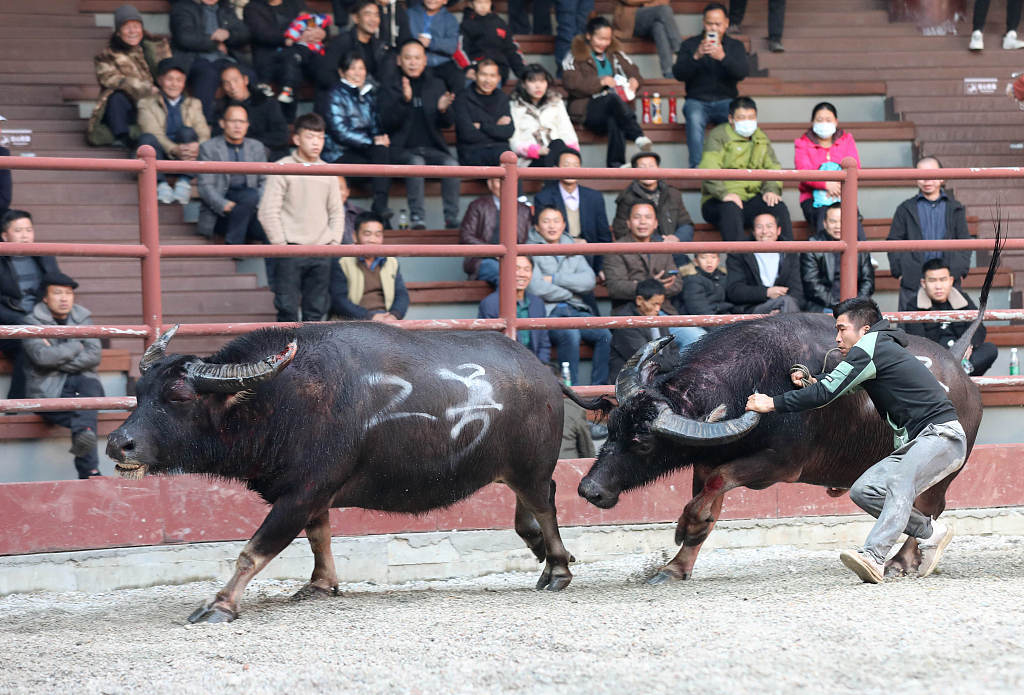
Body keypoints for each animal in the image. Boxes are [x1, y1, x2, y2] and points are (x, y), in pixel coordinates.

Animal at [112, 323, 577, 622]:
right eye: (139, 392)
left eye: (178, 396)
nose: (119, 443)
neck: (278, 400)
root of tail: (544, 375)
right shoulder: (312, 495)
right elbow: (320, 537)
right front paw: (320, 585)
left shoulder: (300, 495)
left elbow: (253, 551)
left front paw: (220, 604)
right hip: (514, 471)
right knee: (529, 510)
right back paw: (542, 551)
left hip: (531, 468)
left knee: (547, 506)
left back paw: (557, 569)